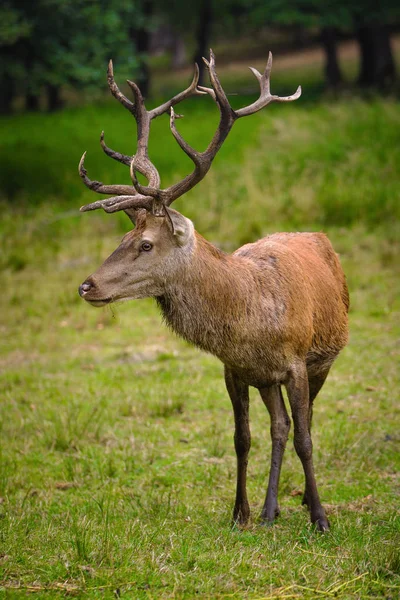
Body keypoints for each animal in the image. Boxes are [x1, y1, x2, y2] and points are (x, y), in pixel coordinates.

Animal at [77, 50, 346, 528]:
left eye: (146, 244)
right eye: (123, 238)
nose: (87, 286)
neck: (251, 322)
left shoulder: (297, 362)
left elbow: (306, 438)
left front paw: (319, 517)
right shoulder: (234, 369)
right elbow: (242, 437)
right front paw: (240, 513)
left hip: (325, 358)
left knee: (303, 424)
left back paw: (295, 504)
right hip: (267, 381)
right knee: (279, 426)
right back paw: (270, 509)